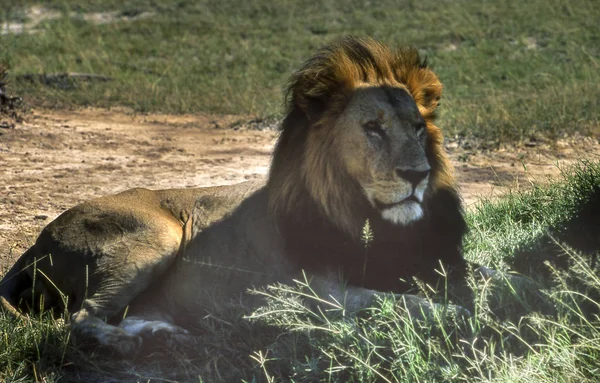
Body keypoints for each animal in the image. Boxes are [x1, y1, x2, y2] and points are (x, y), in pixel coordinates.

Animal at [0, 36, 468, 356]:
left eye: (418, 129)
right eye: (373, 128)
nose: (418, 174)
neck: (373, 220)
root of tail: (36, 242)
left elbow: (476, 277)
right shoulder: (316, 294)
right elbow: (398, 303)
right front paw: (462, 315)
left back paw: (168, 334)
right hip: (158, 235)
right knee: (79, 319)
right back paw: (142, 344)